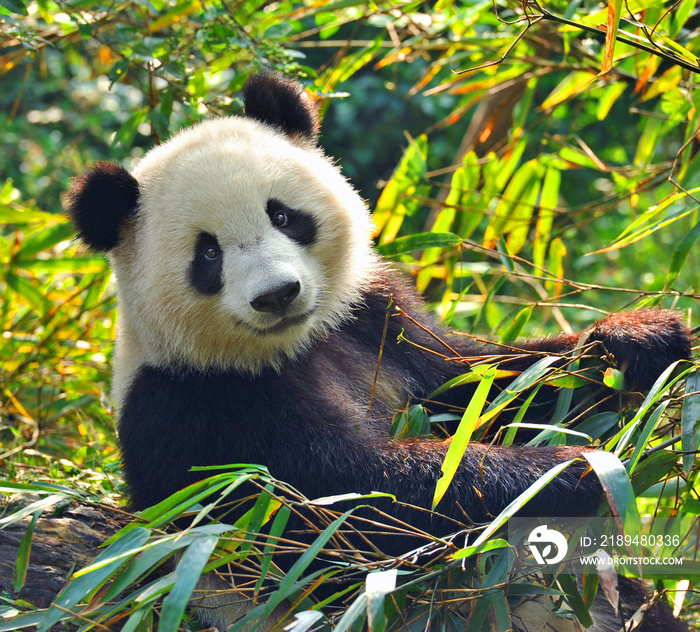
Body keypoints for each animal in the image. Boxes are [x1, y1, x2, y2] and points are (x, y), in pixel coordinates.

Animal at [67, 73, 696, 628]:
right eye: (208, 254)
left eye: (282, 215)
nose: (277, 294)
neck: (290, 346)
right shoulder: (198, 409)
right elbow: (341, 502)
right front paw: (565, 471)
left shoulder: (374, 322)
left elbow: (484, 388)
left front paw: (637, 341)